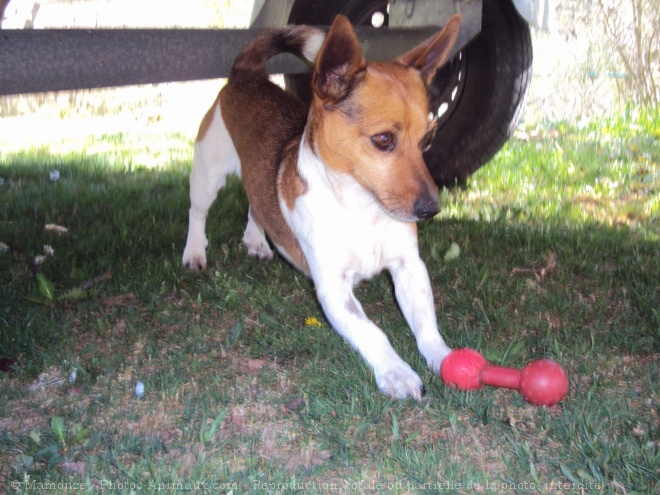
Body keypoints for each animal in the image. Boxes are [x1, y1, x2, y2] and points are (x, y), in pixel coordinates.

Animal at [183, 15, 462, 402]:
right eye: (383, 140)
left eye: (428, 140)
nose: (431, 210)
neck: (362, 209)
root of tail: (246, 74)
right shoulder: (333, 289)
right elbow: (374, 333)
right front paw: (397, 372)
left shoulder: (409, 268)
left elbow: (426, 325)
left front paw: (444, 357)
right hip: (208, 174)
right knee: (198, 212)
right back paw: (195, 252)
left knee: (256, 200)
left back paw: (257, 241)